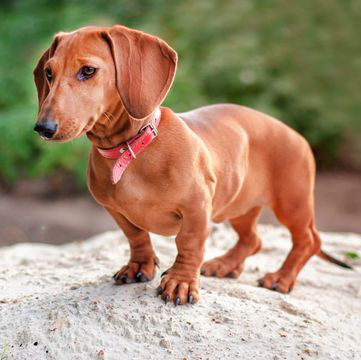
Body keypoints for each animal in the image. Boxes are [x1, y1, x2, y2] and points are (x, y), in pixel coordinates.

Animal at [33, 25, 348, 306]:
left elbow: (188, 244)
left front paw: (181, 282)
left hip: (292, 201)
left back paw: (281, 278)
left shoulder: (197, 208)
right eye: (49, 73)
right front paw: (139, 266)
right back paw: (225, 265)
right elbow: (136, 236)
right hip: (239, 206)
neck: (130, 149)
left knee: (308, 241)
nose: (42, 128)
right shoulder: (115, 210)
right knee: (254, 239)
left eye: (88, 71)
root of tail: (296, 134)